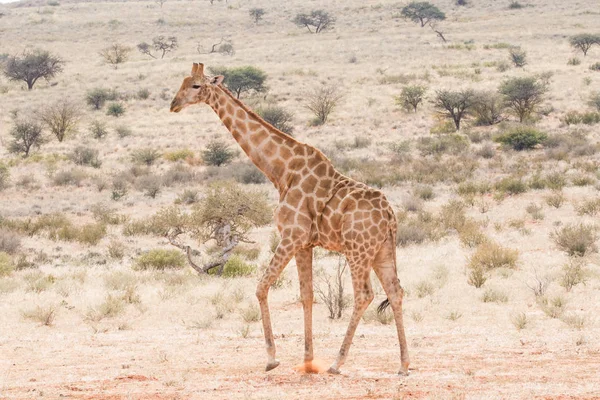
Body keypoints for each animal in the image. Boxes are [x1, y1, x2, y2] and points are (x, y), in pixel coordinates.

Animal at [171, 62, 410, 376]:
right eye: (182, 82)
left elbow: (261, 286)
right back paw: (404, 364)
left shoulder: (290, 236)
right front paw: (307, 360)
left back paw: (337, 363)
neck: (281, 171)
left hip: (358, 250)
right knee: (395, 291)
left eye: (196, 86)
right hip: (382, 250)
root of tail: (390, 215)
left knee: (364, 295)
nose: (174, 104)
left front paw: (272, 358)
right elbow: (306, 295)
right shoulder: (305, 243)